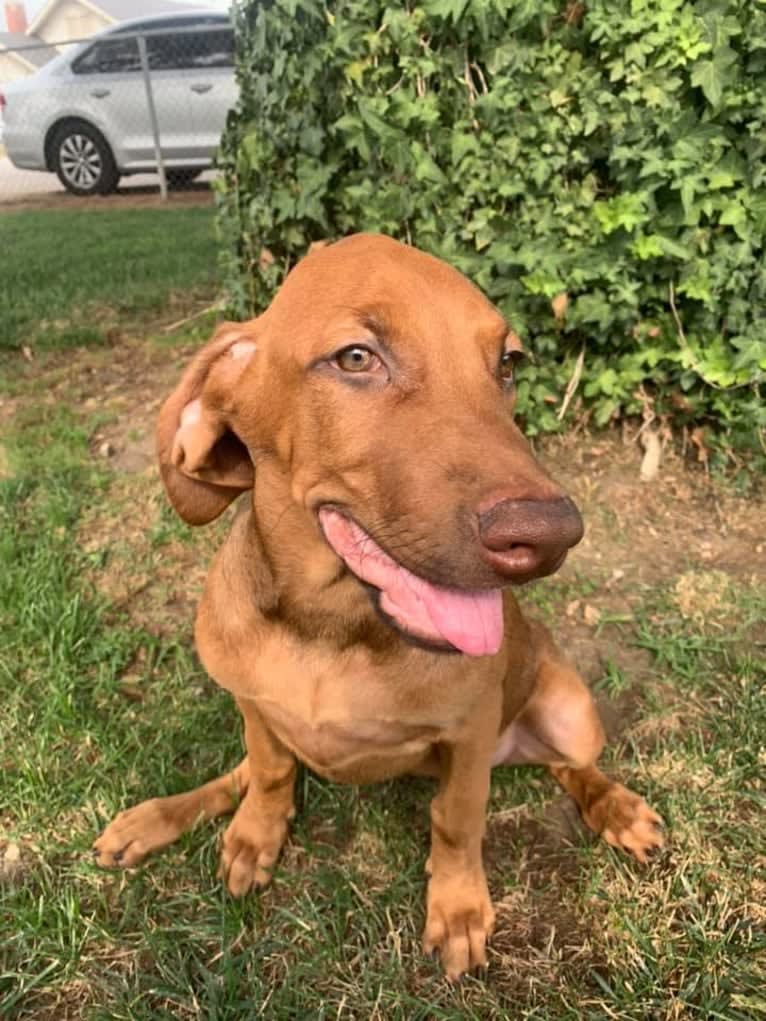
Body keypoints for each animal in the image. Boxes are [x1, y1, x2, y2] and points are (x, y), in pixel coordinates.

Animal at [92, 233, 661, 980]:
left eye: (507, 363)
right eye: (356, 358)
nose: (549, 536)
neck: (329, 628)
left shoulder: (471, 734)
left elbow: (457, 817)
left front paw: (458, 907)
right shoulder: (253, 706)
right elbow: (268, 772)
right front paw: (255, 835)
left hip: (569, 711)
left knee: (573, 765)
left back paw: (616, 808)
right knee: (244, 771)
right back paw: (156, 819)